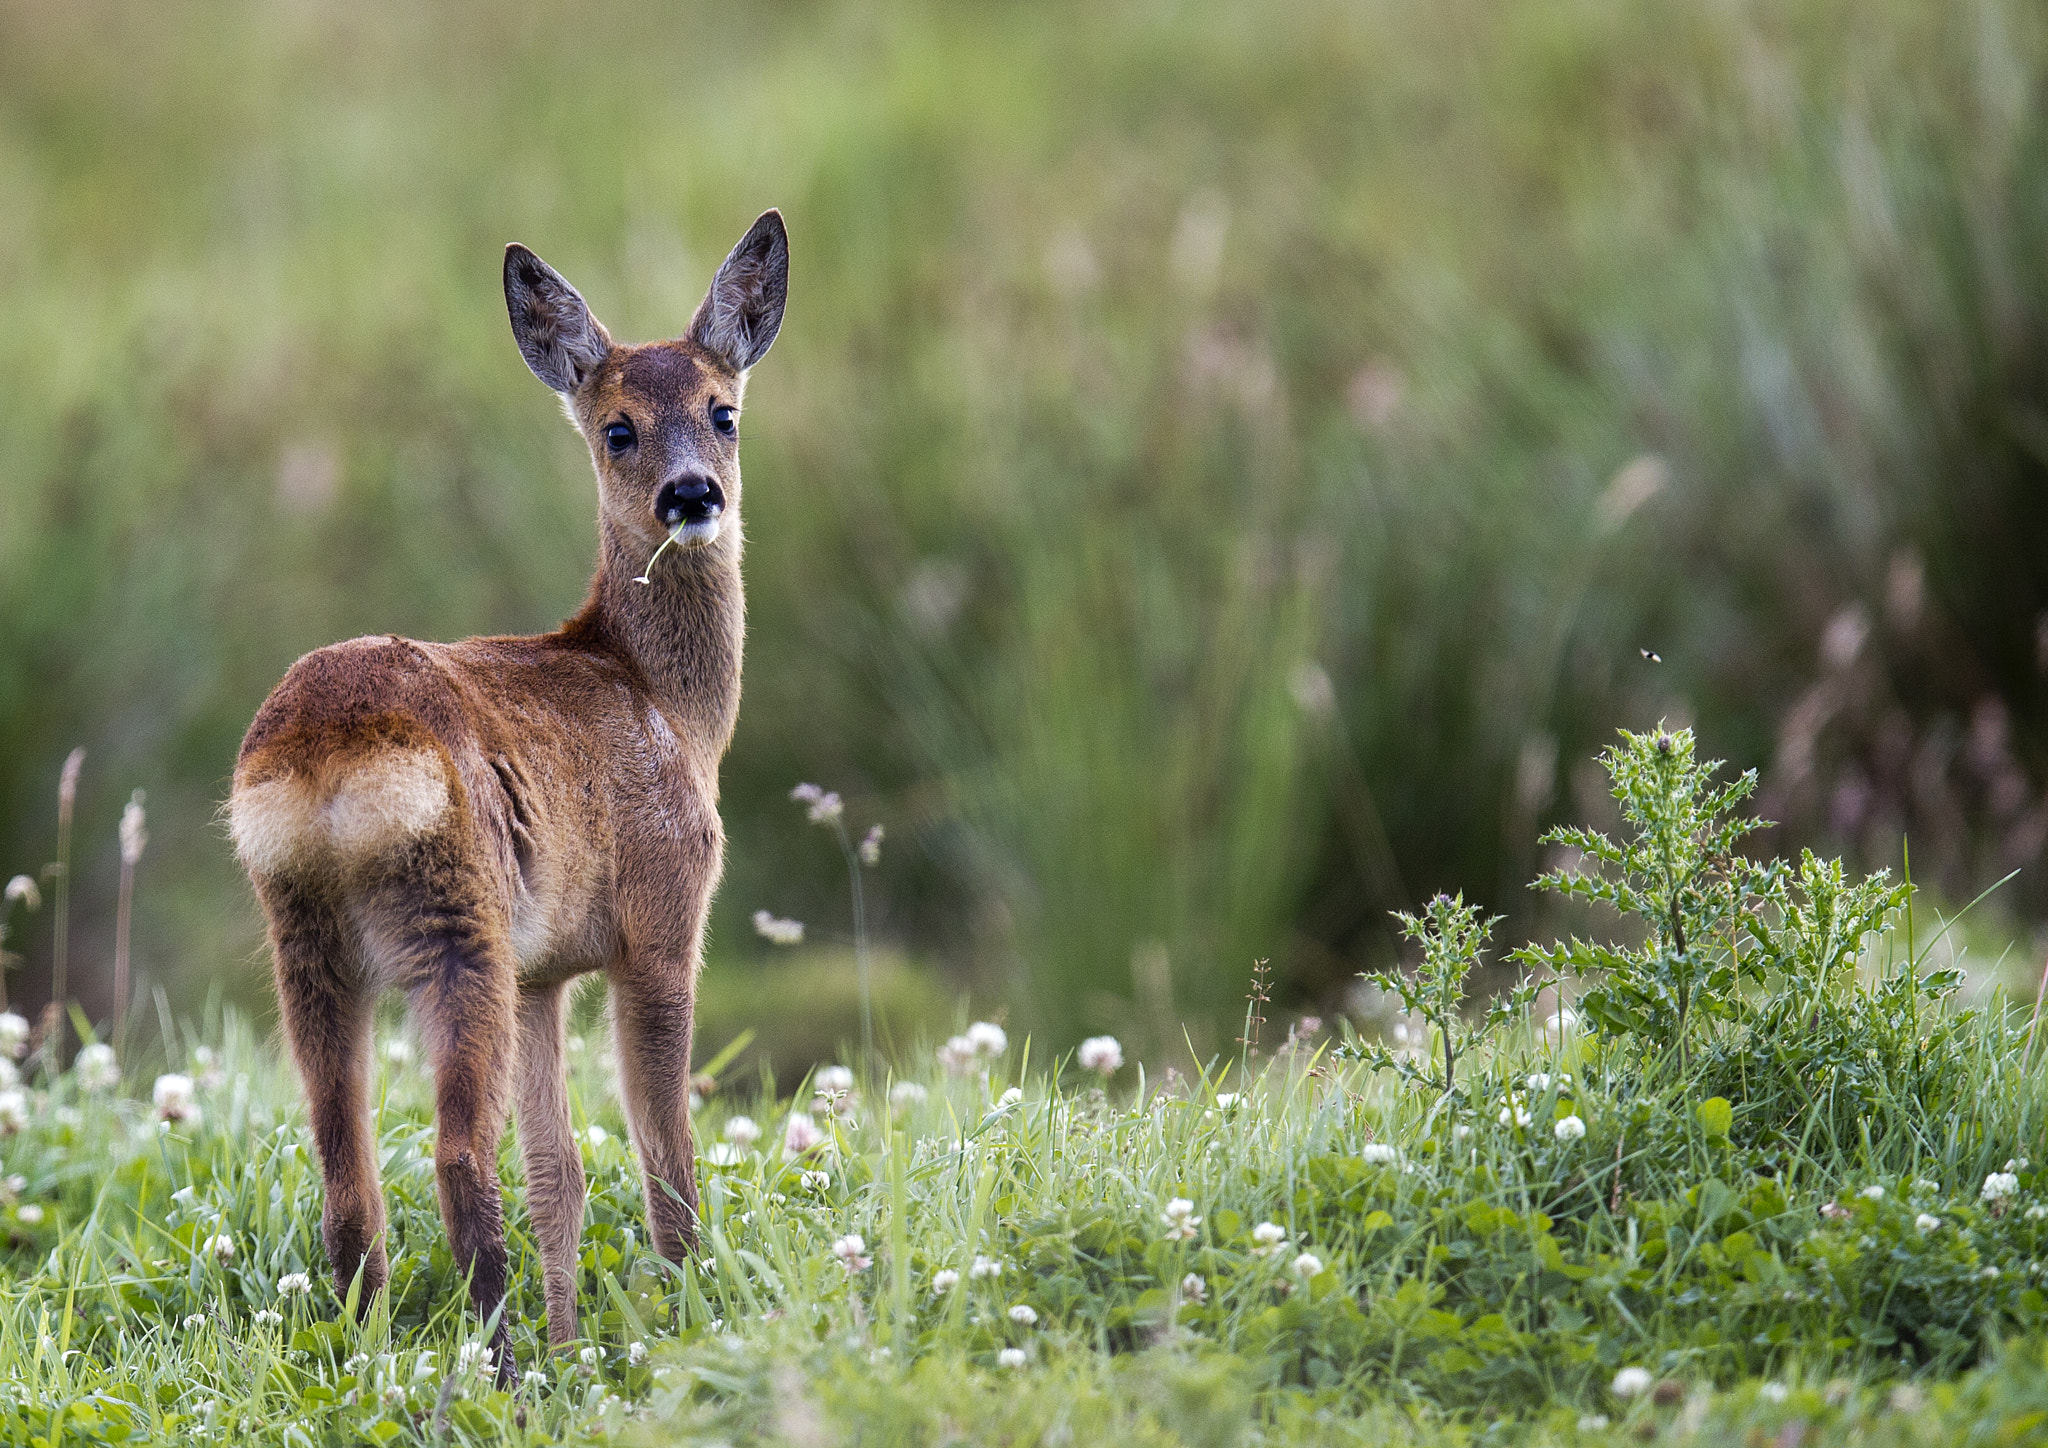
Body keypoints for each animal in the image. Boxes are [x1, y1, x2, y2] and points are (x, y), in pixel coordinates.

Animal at [228, 209, 786, 1376]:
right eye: (616, 428)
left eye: (723, 411)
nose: (692, 496)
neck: (667, 703)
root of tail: (321, 756)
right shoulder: (660, 920)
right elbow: (664, 1153)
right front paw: (684, 1311)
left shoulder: (545, 974)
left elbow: (558, 1173)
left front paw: (582, 1344)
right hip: (459, 921)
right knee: (452, 1152)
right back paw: (502, 1366)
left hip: (306, 937)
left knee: (344, 1162)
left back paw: (372, 1354)